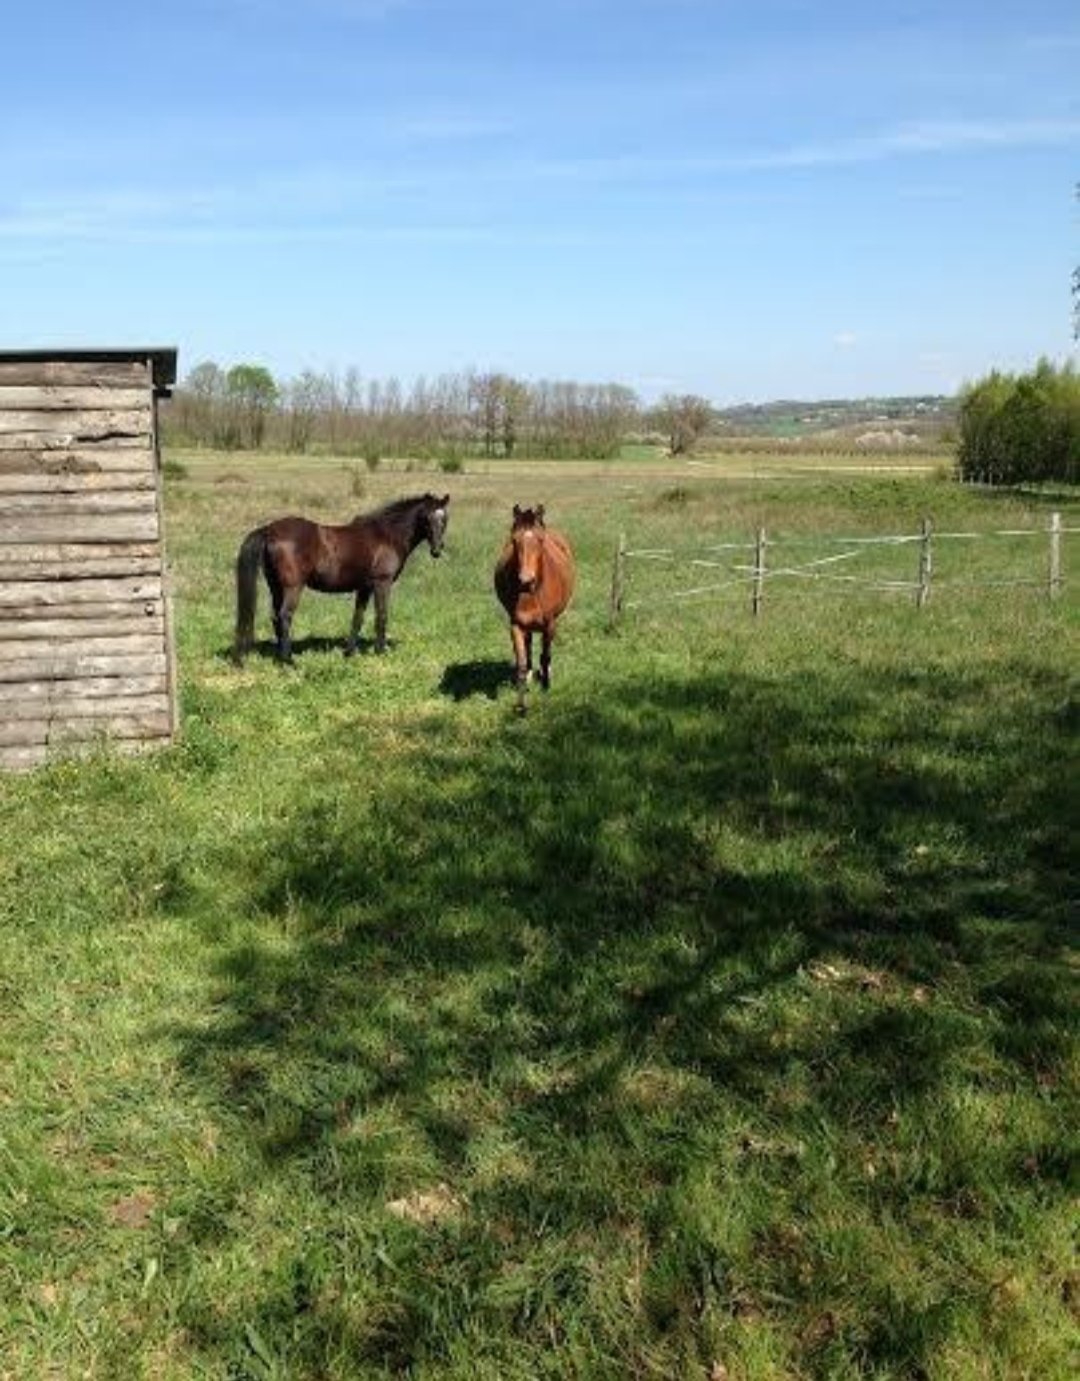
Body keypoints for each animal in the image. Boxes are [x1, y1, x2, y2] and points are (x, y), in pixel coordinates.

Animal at [233, 492, 450, 664]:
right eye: (426, 518)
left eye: (445, 518)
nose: (437, 550)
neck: (387, 536)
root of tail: (269, 530)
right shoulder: (382, 583)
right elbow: (381, 616)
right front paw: (380, 651)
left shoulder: (364, 587)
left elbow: (358, 618)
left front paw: (349, 652)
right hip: (293, 587)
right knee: (285, 615)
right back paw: (288, 660)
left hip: (276, 587)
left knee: (275, 616)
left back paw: (280, 656)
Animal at [494, 504, 575, 711]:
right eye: (514, 540)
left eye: (540, 540)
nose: (525, 580)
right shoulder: (516, 625)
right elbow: (522, 663)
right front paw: (521, 704)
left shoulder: (549, 625)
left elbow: (545, 656)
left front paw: (546, 687)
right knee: (529, 645)